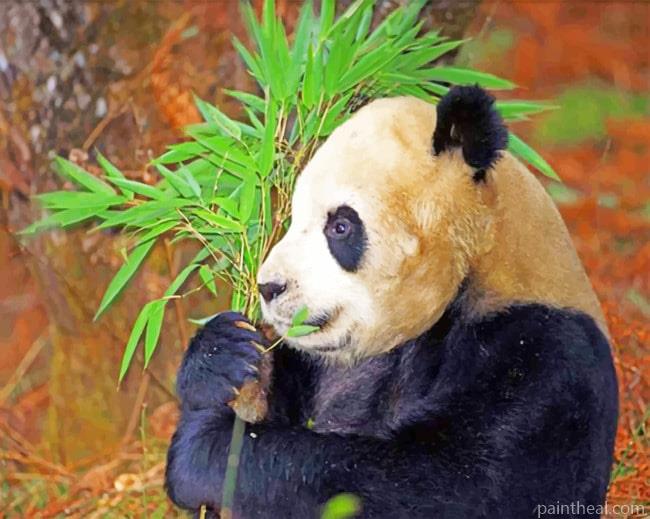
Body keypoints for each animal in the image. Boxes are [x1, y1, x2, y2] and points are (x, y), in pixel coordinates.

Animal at [165, 86, 618, 518]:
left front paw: (204, 450)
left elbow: (451, 486)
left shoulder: (539, 352)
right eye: (293, 216)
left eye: (340, 226)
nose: (269, 286)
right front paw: (222, 355)